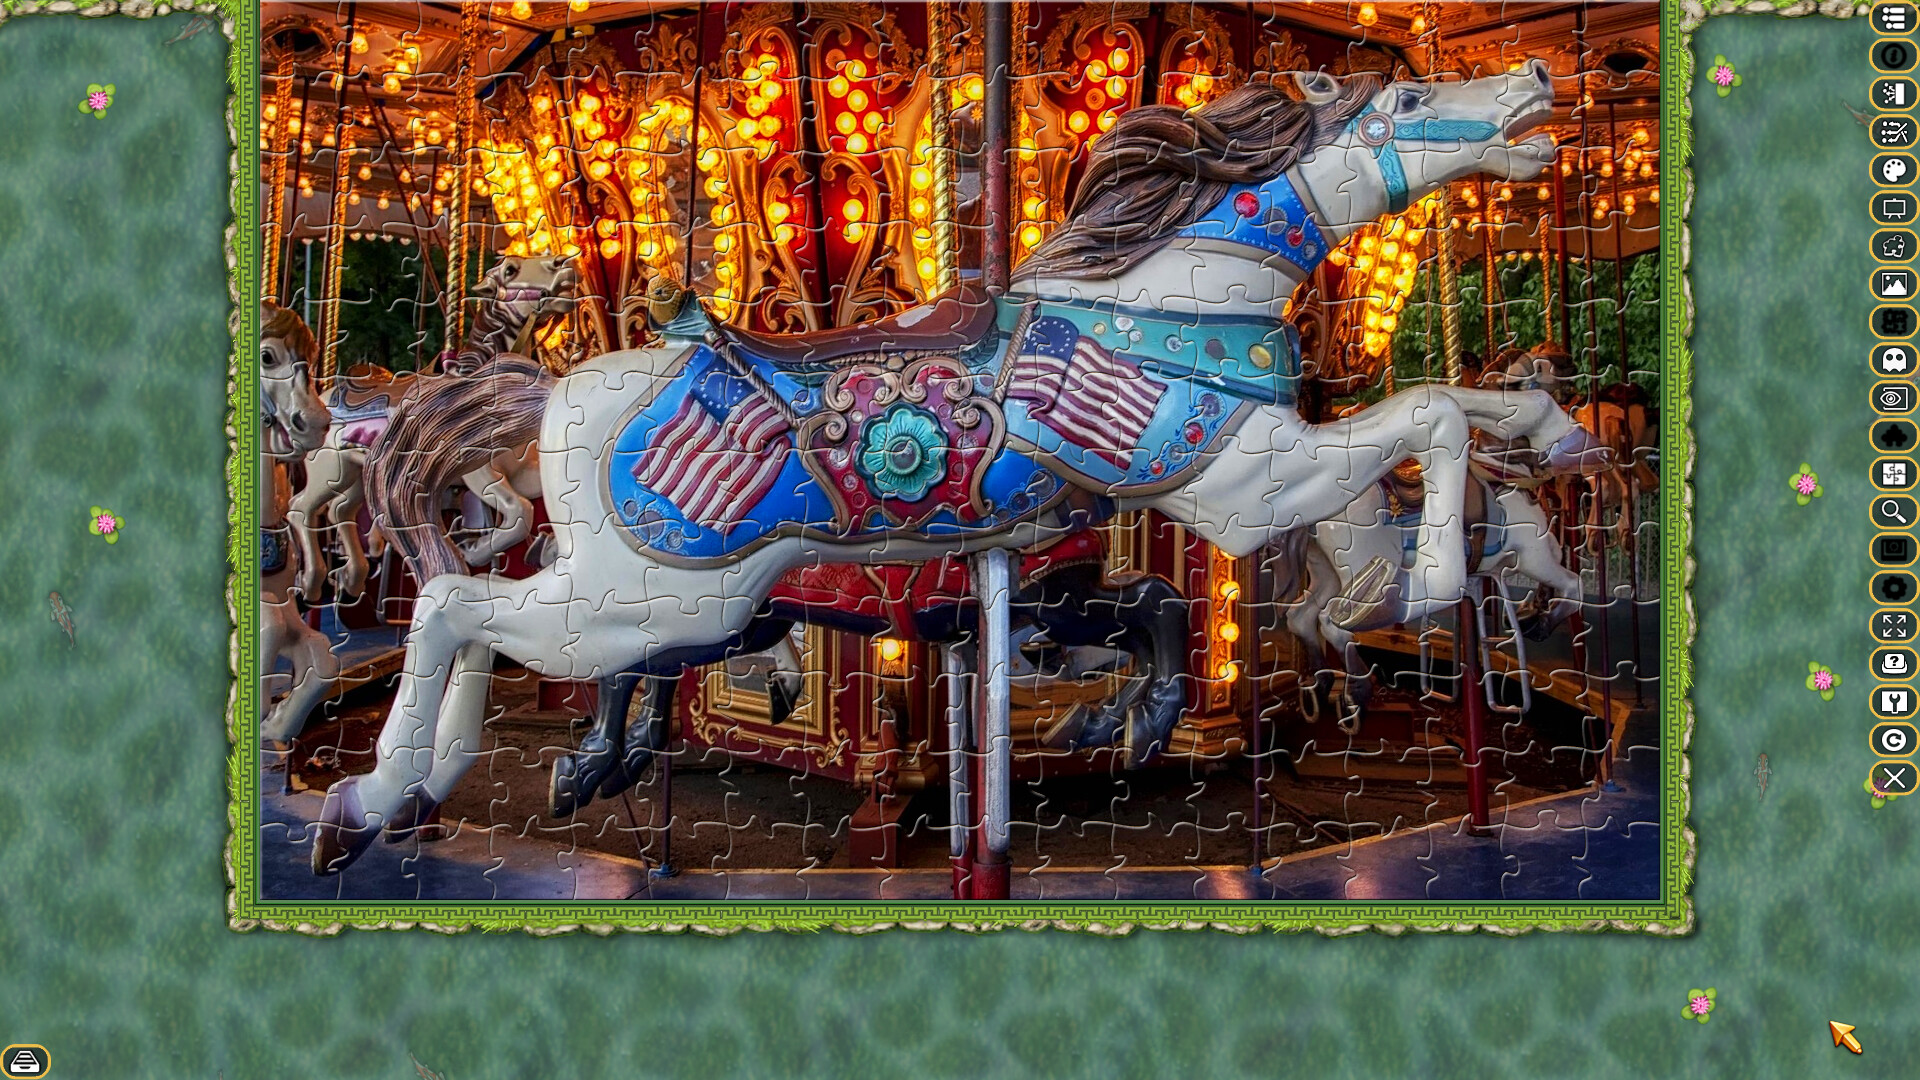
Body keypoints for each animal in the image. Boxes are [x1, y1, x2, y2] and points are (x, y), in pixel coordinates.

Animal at [286, 256, 579, 602]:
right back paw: (311, 581)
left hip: (354, 473)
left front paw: (548, 551)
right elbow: (519, 512)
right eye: (510, 269)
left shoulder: (521, 471)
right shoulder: (476, 471)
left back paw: (353, 576)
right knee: (301, 509)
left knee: (339, 511)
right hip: (327, 469)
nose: (562, 264)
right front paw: (473, 552)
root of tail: (323, 398)